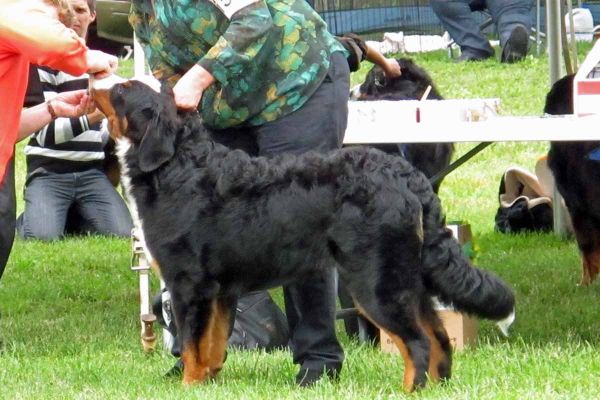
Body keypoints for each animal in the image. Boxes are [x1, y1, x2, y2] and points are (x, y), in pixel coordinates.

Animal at [91, 76, 512, 392]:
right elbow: (212, 346)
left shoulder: (190, 286)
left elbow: (193, 345)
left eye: (121, 90)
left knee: (418, 342)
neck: (177, 166)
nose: (95, 79)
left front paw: (189, 386)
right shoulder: (221, 290)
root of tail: (406, 175)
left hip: (374, 283)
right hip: (406, 278)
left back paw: (410, 390)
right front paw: (208, 383)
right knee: (438, 336)